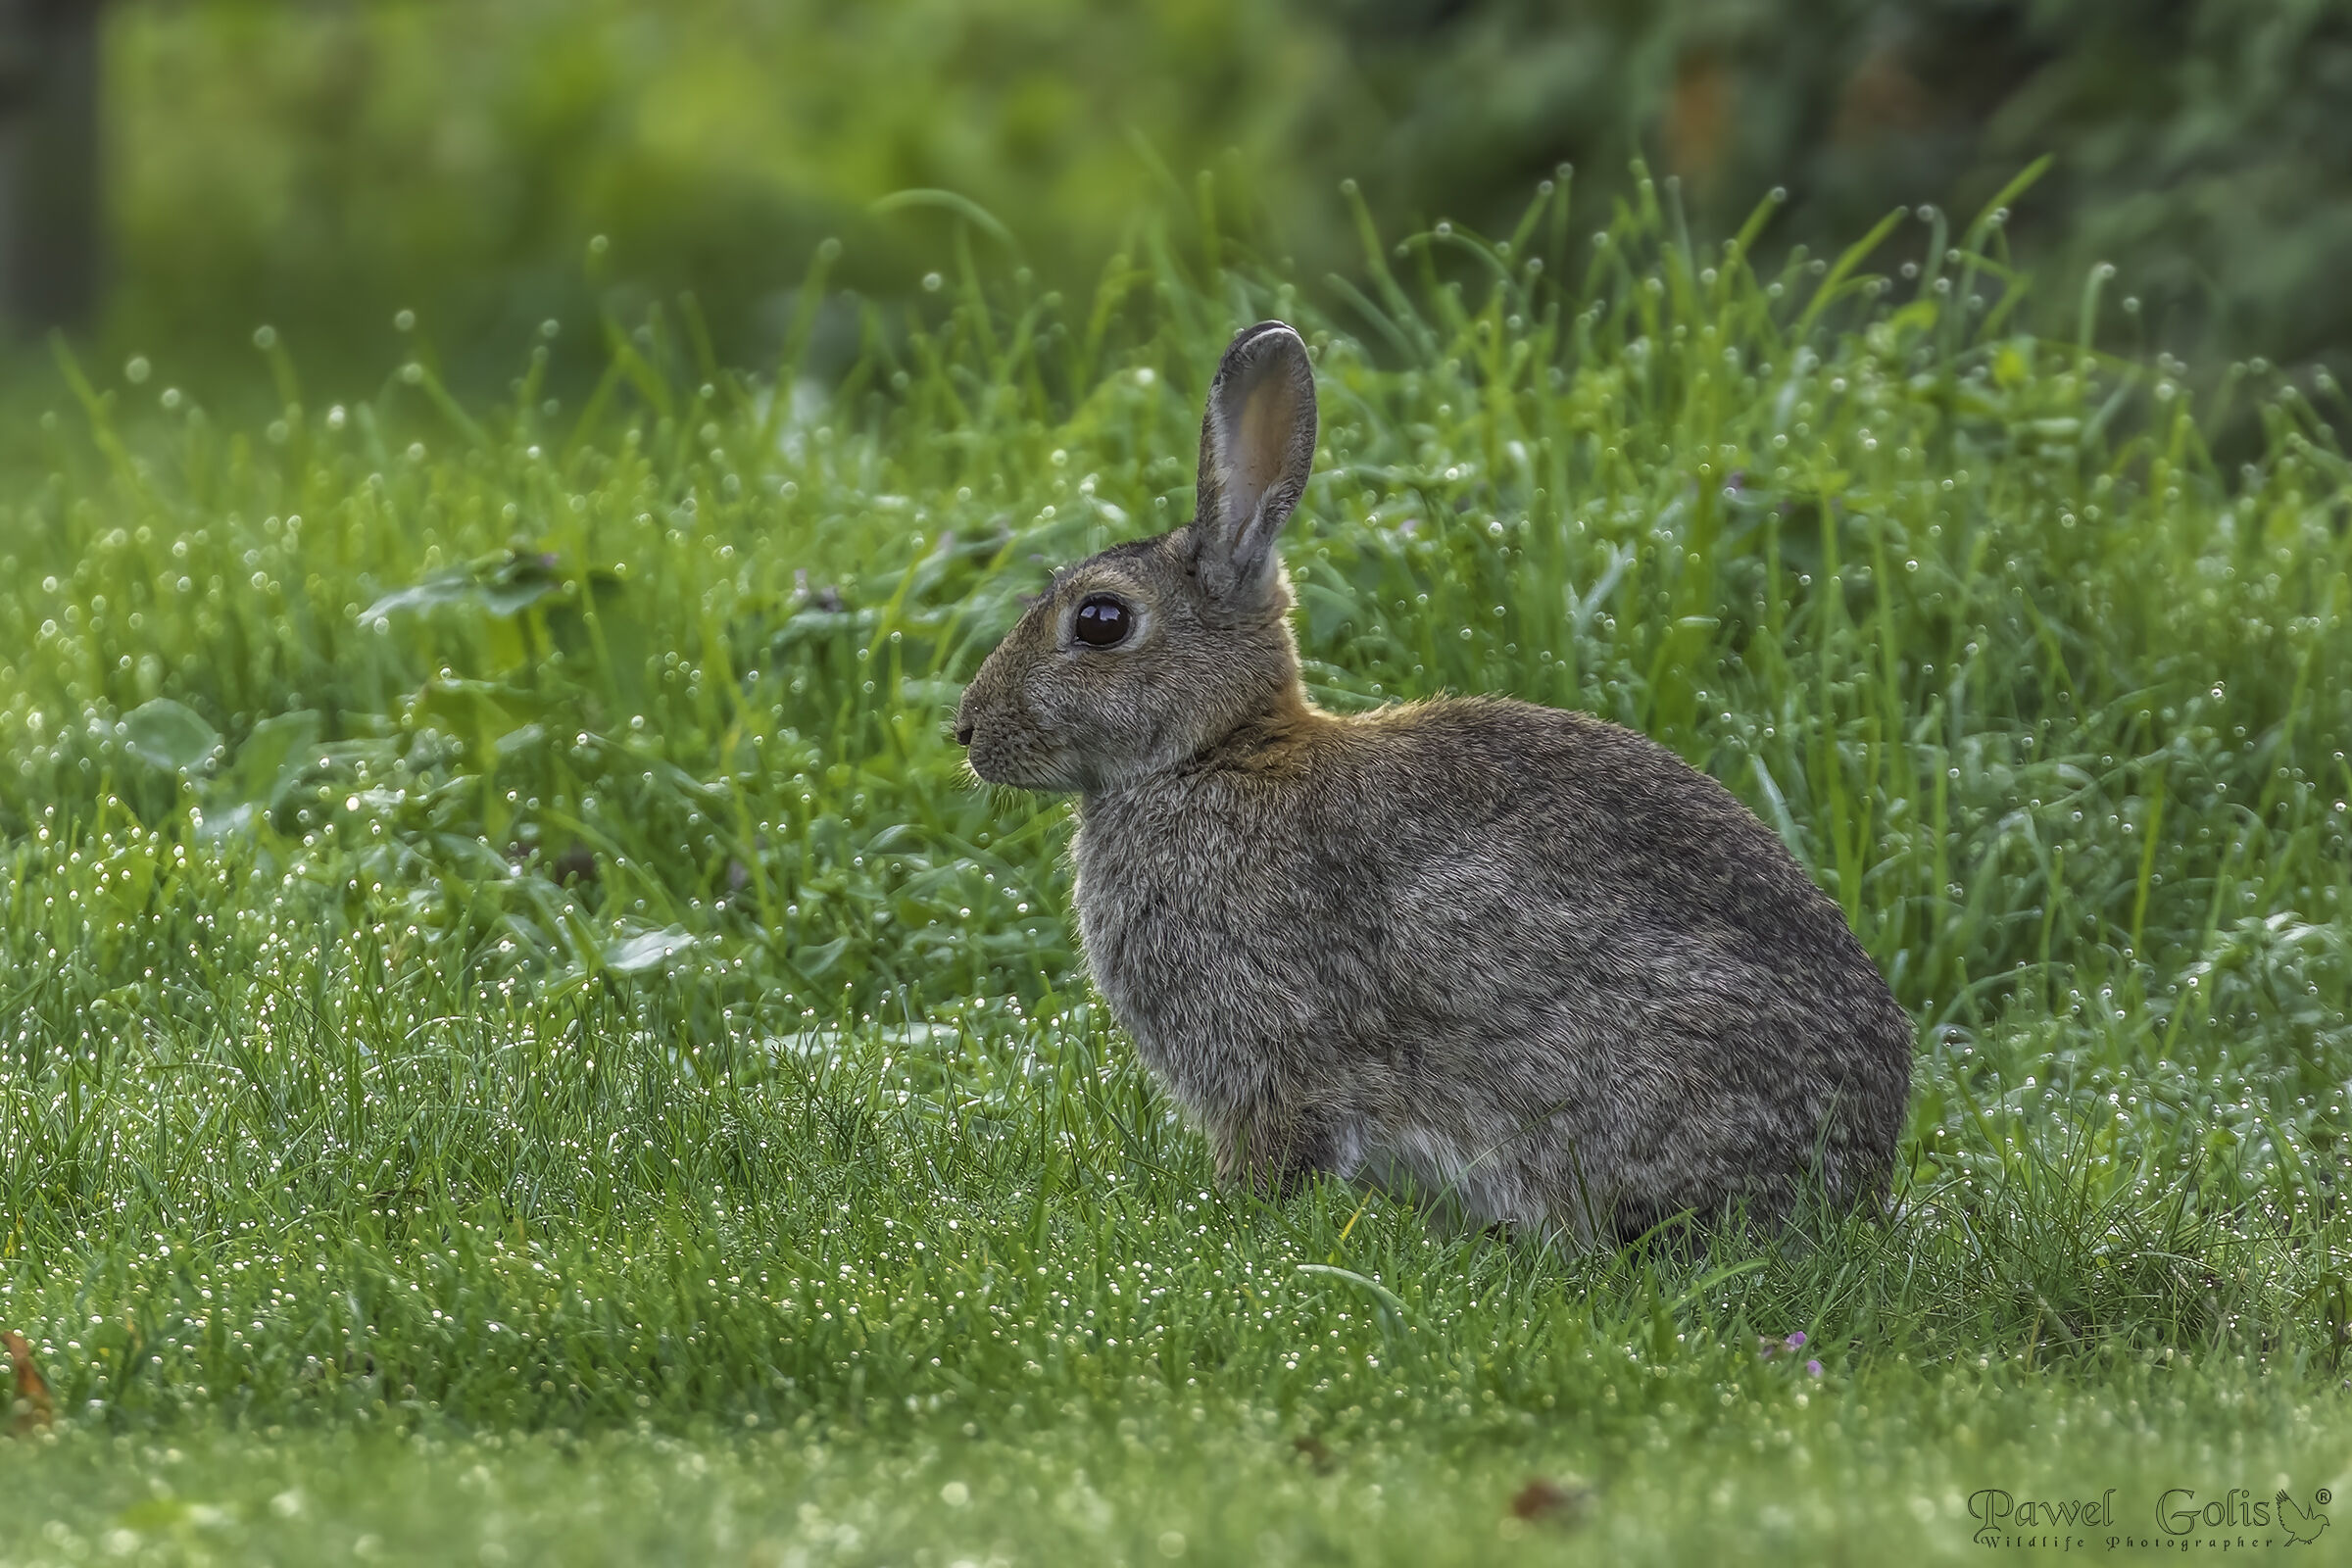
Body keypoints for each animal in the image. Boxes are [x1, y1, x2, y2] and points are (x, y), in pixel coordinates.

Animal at [954, 320, 1913, 1245]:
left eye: (1101, 620)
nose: (966, 731)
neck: (1217, 751)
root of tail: (1860, 1173)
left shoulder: (1272, 1056)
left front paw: (1226, 1219)